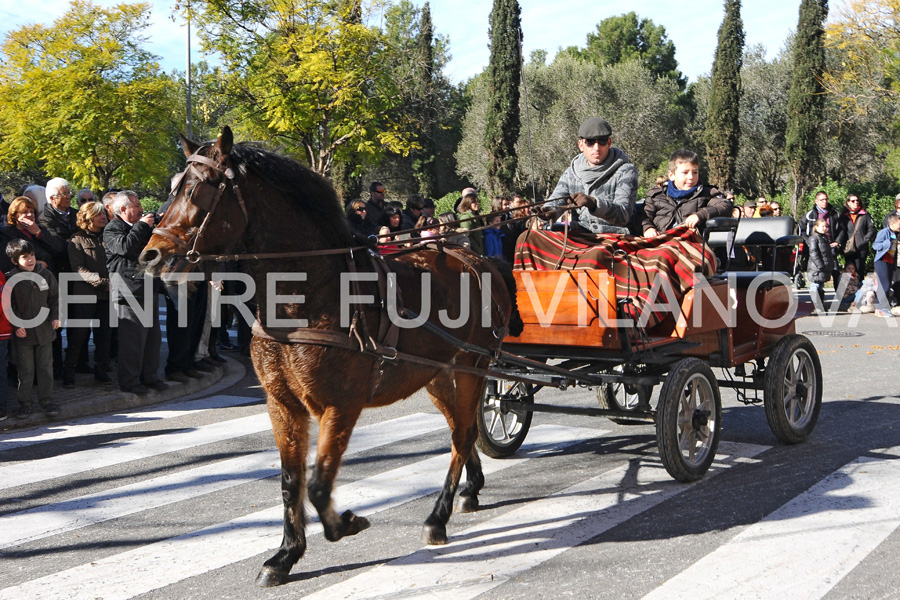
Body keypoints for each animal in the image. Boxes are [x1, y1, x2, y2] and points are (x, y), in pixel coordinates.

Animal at [140, 127, 520, 584]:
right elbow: (292, 481)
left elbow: (320, 484)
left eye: (197, 189)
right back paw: (470, 488)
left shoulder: (341, 405)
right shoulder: (282, 403)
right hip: (437, 375)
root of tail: (477, 257)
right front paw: (285, 554)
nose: (151, 255)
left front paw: (345, 523)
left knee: (463, 434)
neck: (308, 297)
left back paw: (437, 516)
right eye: (171, 189)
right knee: (460, 432)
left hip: (470, 367)